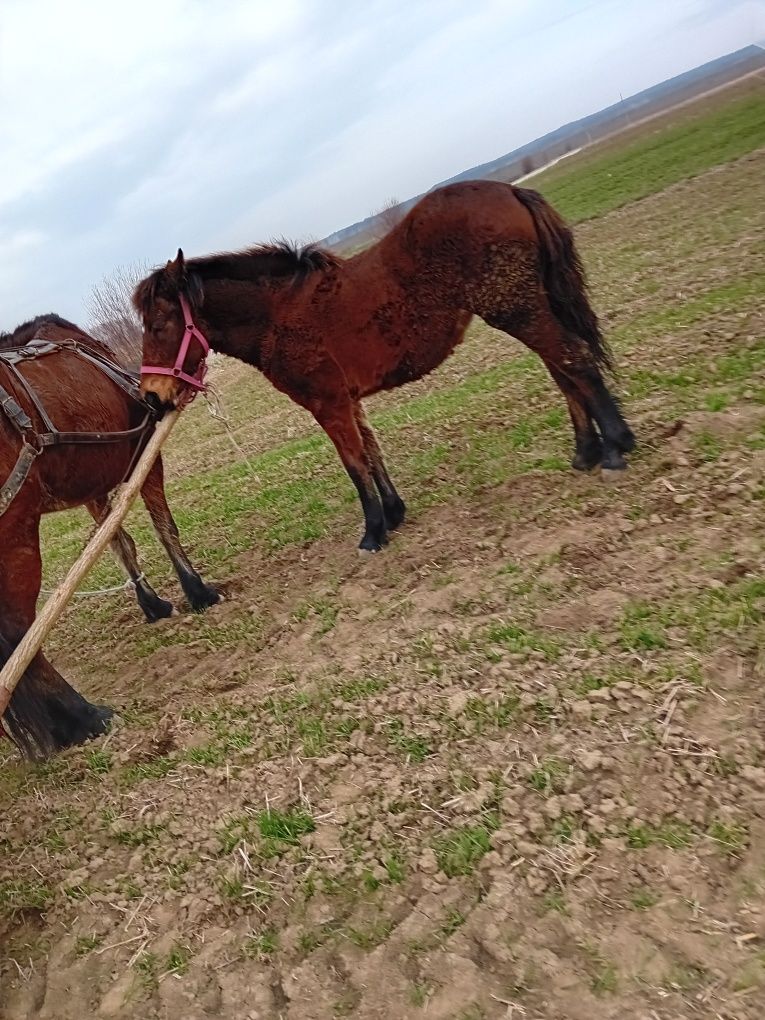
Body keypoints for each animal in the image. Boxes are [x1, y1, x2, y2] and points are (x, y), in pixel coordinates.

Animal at [0, 316, 221, 758]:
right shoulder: (145, 454)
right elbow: (163, 525)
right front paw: (198, 591)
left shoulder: (93, 485)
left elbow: (117, 541)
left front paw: (152, 604)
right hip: (16, 531)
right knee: (19, 631)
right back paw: (84, 718)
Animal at [136, 179, 636, 554]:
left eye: (159, 325)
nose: (152, 395)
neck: (279, 313)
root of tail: (510, 190)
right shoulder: (348, 400)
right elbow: (372, 451)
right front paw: (394, 514)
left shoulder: (328, 404)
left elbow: (354, 463)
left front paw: (373, 532)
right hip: (525, 309)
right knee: (563, 369)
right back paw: (587, 451)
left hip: (518, 309)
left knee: (574, 359)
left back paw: (613, 449)